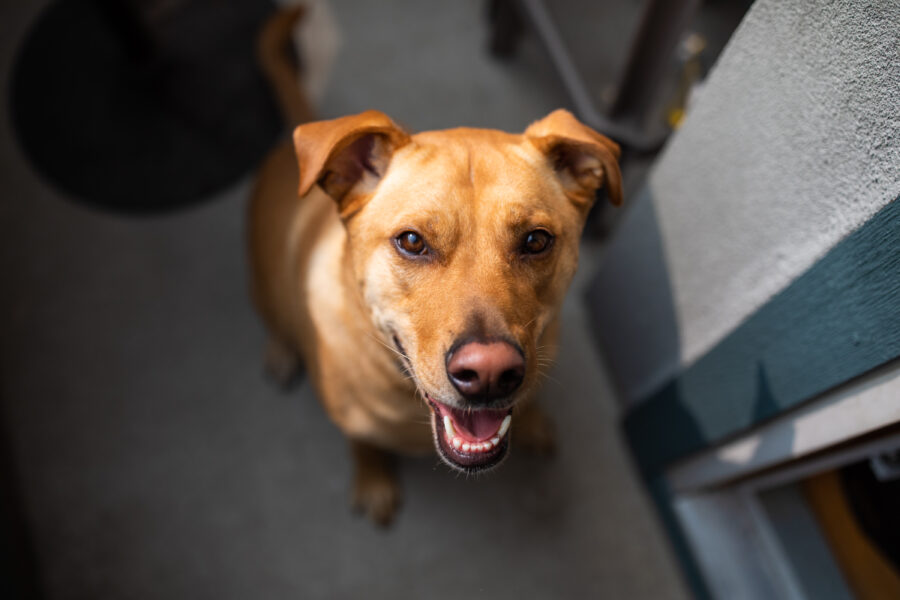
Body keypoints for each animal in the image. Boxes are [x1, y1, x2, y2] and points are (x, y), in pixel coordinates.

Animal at [250, 10, 624, 524]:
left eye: (536, 240)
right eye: (412, 242)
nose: (489, 374)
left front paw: (533, 423)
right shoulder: (351, 422)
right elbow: (363, 445)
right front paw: (373, 480)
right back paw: (282, 351)